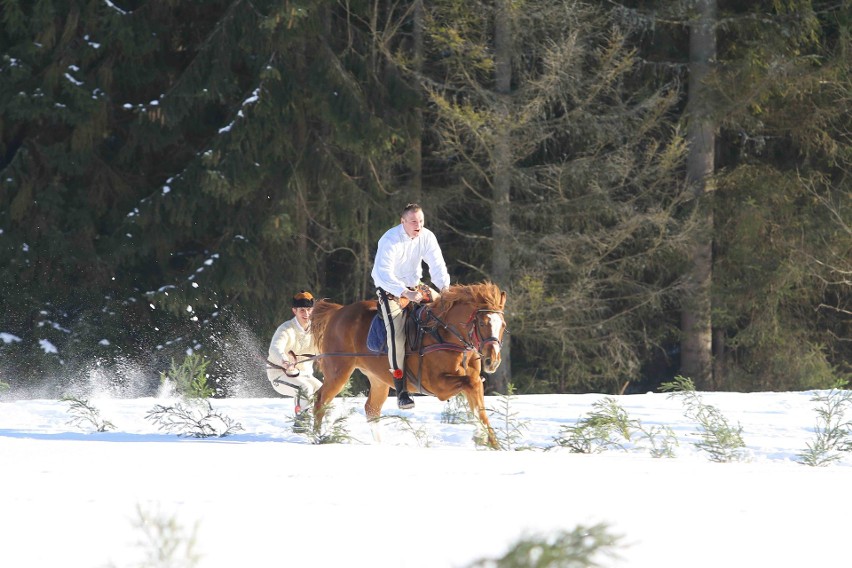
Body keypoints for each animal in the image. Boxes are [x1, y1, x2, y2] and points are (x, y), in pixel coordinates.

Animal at [312, 282, 506, 446]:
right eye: (483, 323)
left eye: (503, 325)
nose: (493, 360)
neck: (444, 334)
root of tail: (338, 311)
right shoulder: (438, 385)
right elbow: (471, 385)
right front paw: (482, 438)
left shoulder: (468, 381)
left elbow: (479, 407)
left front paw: (491, 442)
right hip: (338, 372)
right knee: (320, 400)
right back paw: (317, 438)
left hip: (378, 380)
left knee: (372, 409)